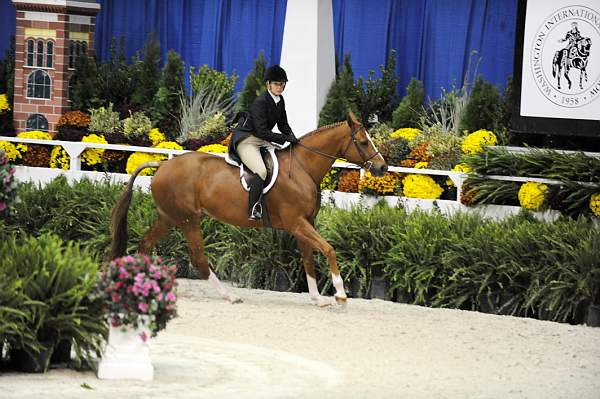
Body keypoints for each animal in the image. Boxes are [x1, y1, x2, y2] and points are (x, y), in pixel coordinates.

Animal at [109, 111, 386, 308]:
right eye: (363, 142)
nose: (382, 168)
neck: (302, 168)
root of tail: (162, 165)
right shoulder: (297, 223)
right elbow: (329, 249)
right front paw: (340, 294)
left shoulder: (305, 224)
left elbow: (308, 258)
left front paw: (318, 299)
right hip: (188, 219)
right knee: (198, 258)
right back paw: (230, 296)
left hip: (169, 217)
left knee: (145, 244)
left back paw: (143, 287)